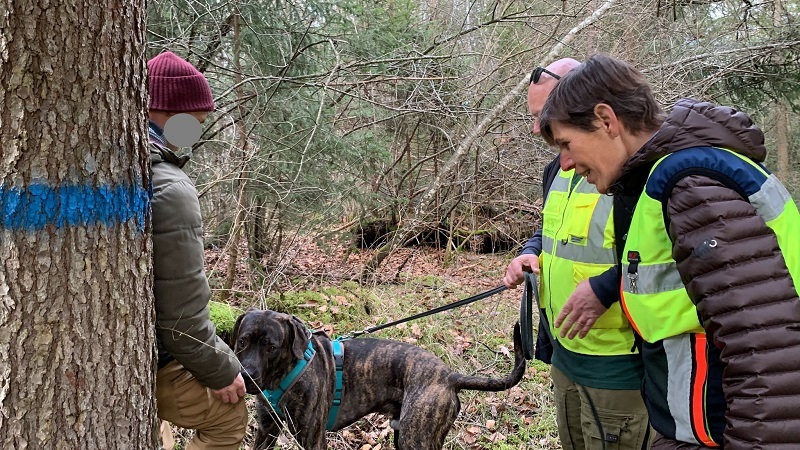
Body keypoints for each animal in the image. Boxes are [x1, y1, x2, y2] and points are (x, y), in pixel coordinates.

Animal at [233, 310, 524, 450]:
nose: (247, 375)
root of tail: (449, 376)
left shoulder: (312, 439)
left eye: (271, 347)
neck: (283, 375)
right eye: (242, 341)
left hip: (416, 439)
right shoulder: (266, 431)